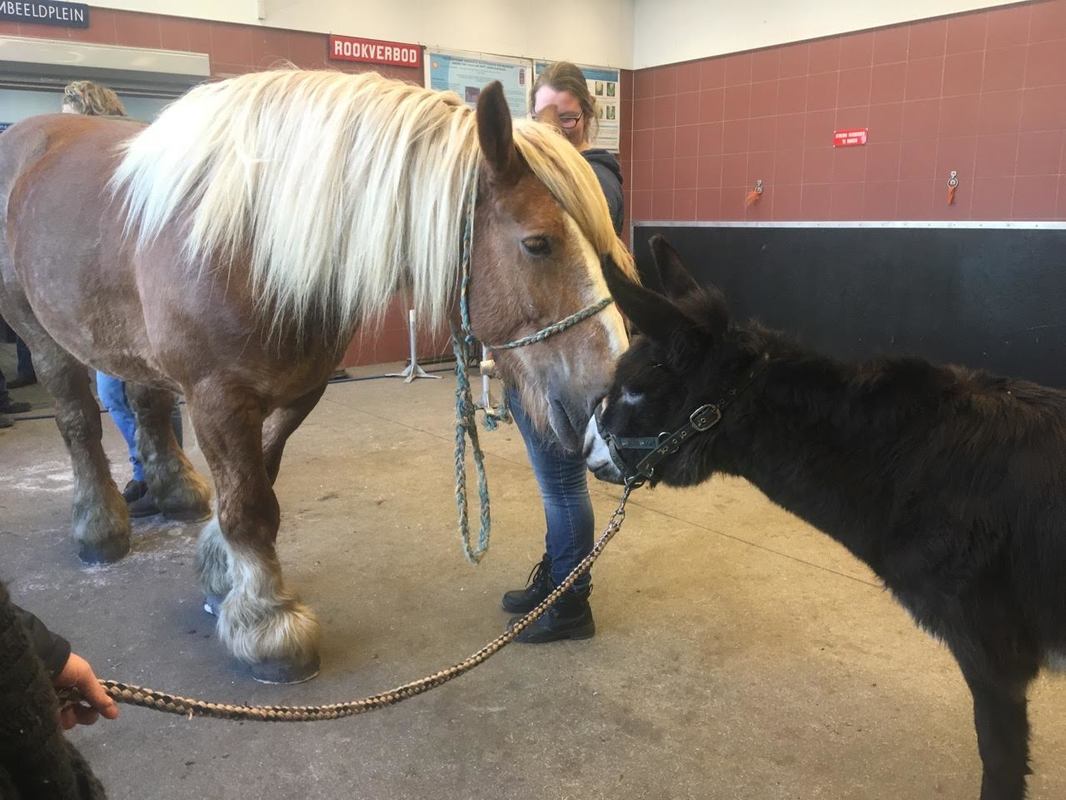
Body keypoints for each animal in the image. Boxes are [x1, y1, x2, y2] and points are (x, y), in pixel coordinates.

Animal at [0, 70, 631, 682]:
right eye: (537, 243)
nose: (609, 401)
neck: (250, 239)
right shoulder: (216, 398)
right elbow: (249, 508)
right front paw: (268, 626)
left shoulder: (300, 389)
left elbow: (263, 480)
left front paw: (221, 572)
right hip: (42, 337)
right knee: (79, 423)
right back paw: (99, 527)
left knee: (147, 405)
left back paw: (173, 492)